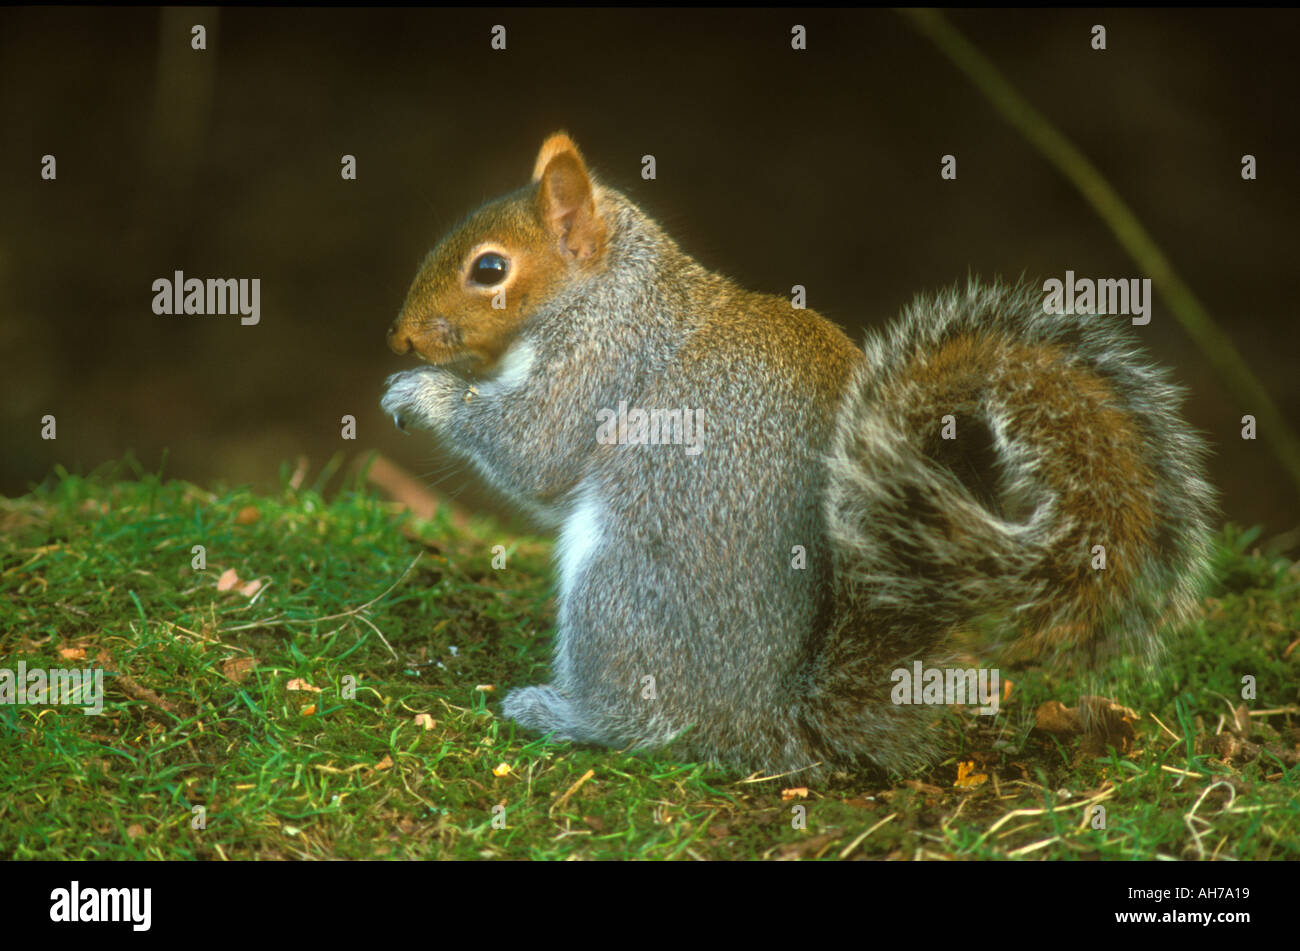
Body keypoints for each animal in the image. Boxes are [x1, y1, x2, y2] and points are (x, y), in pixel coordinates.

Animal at [382, 132, 1216, 777]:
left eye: (489, 269)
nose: (401, 337)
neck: (609, 285)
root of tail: (771, 718)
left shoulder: (603, 359)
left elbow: (537, 451)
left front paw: (423, 394)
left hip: (616, 591)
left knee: (649, 724)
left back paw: (559, 713)